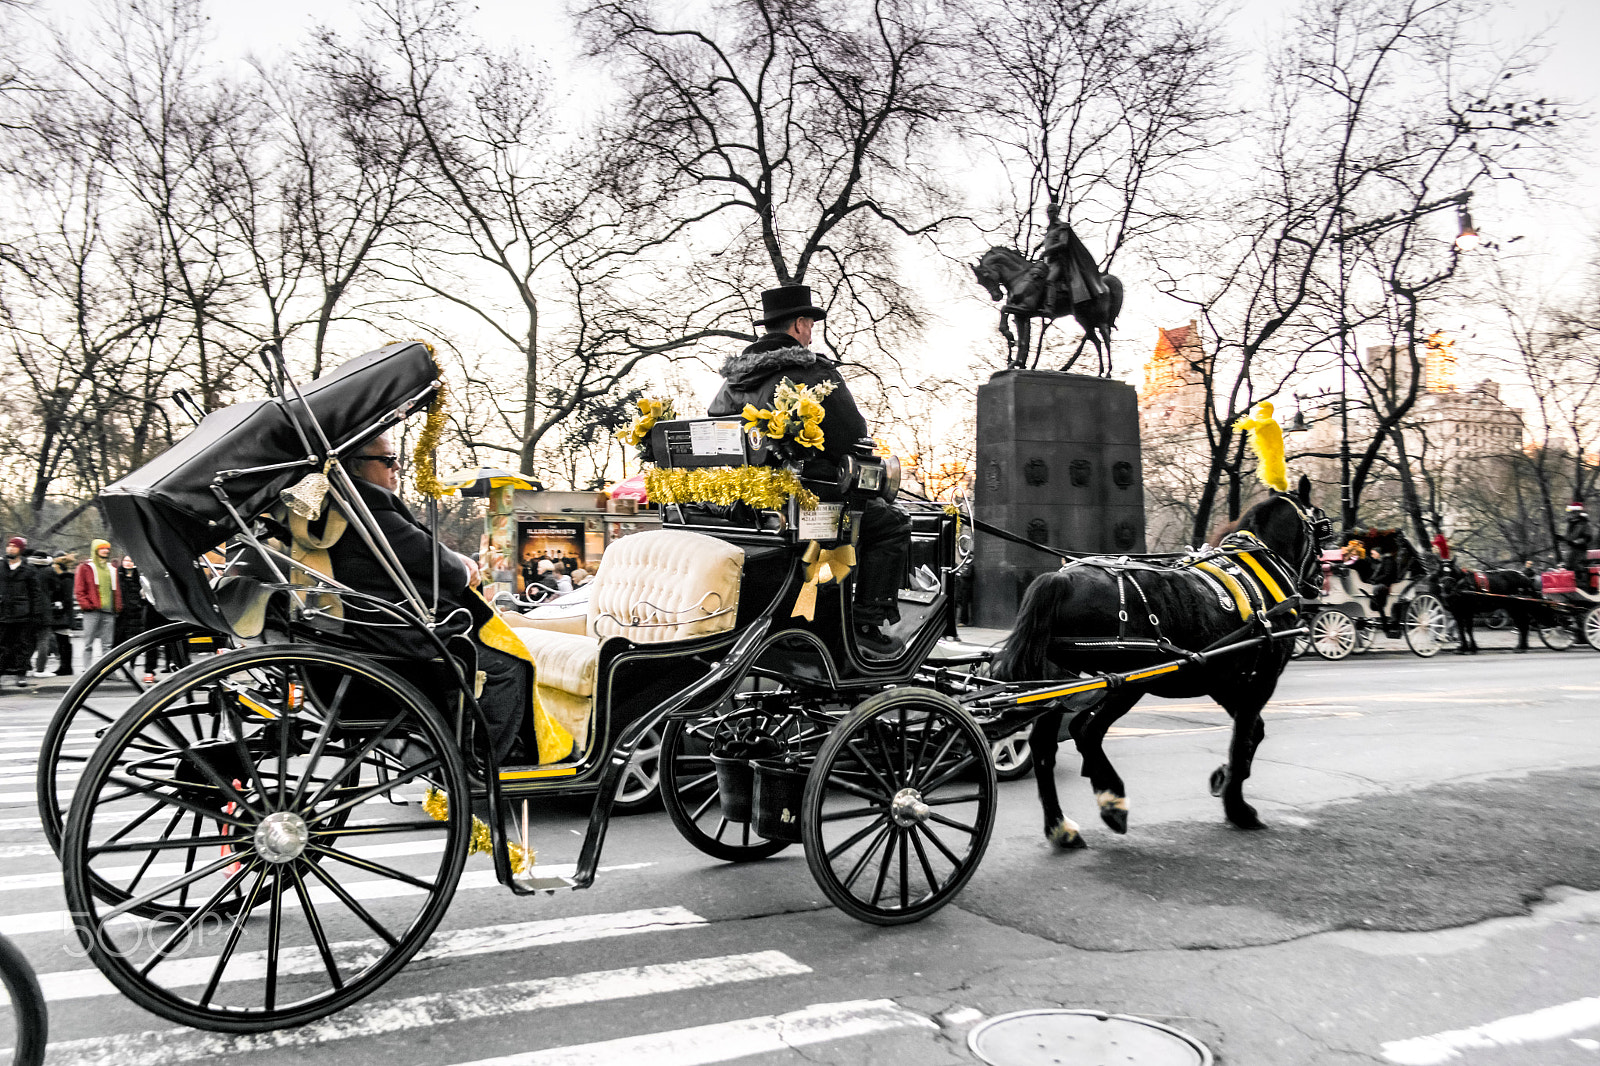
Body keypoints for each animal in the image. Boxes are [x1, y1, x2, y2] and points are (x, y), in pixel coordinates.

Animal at [960, 244, 1126, 372]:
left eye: (986, 275)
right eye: (980, 281)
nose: (996, 296)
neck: (1020, 277)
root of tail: (1102, 281)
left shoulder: (1025, 310)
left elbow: (1004, 310)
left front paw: (1009, 335)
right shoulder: (1021, 316)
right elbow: (1022, 340)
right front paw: (1016, 362)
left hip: (1098, 319)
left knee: (1106, 338)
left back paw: (1108, 373)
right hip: (1084, 320)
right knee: (1097, 341)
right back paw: (1100, 373)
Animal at [998, 480, 1324, 838]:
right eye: (1323, 527)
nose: (1319, 582)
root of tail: (1063, 579)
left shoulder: (1225, 681)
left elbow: (1254, 733)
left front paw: (1222, 779)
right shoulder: (1260, 681)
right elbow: (1242, 740)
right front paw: (1238, 807)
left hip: (1059, 682)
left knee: (1044, 746)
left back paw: (1060, 826)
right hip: (1126, 682)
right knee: (1087, 731)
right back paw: (1112, 801)